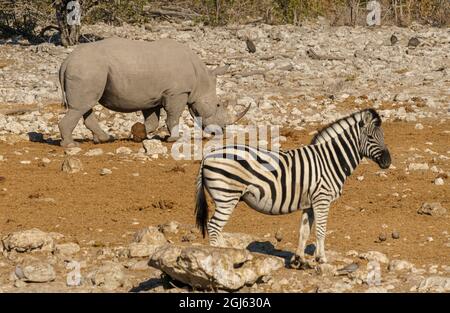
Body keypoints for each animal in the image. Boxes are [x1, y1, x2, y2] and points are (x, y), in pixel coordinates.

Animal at [196, 108, 390, 266]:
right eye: (371, 137)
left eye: (383, 136)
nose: (388, 162)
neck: (330, 160)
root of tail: (208, 157)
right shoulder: (322, 199)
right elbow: (321, 230)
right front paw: (321, 258)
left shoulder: (310, 203)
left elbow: (304, 231)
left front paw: (299, 260)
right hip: (226, 197)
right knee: (214, 227)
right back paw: (219, 257)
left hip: (227, 198)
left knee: (216, 227)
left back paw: (226, 253)